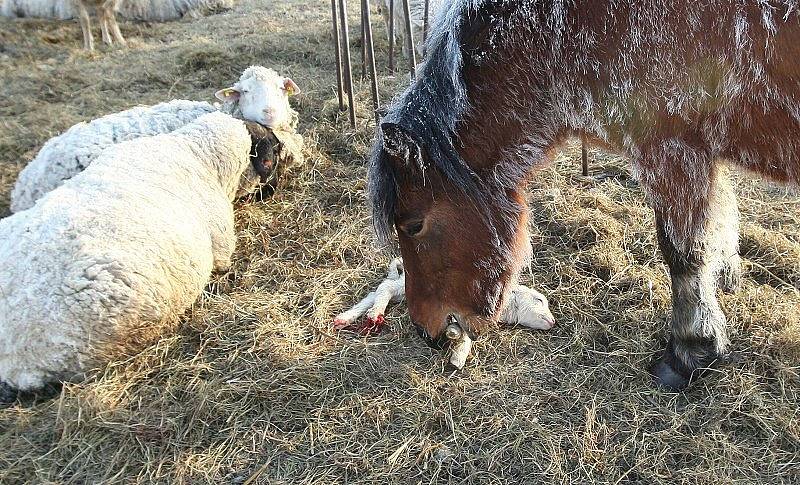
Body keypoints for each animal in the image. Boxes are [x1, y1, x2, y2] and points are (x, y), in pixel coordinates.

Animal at [372, 0, 800, 388]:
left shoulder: (671, 148)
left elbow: (683, 253)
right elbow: (720, 229)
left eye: (413, 225)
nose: (425, 330)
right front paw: (727, 283)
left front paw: (690, 350)